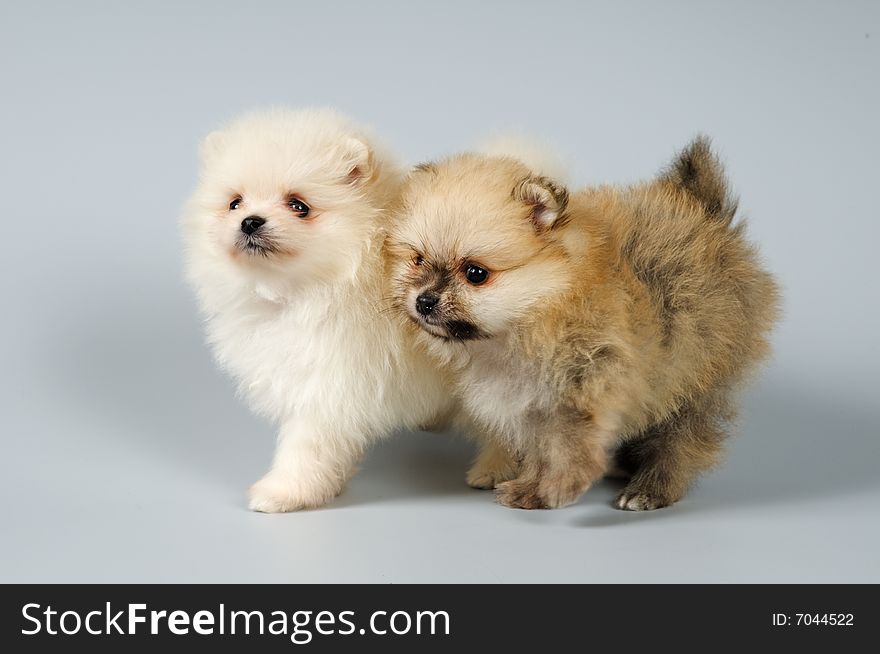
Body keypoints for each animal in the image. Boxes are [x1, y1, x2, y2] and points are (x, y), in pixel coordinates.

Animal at [181, 109, 450, 512]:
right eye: (235, 203)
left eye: (299, 205)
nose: (250, 221)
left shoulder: (331, 378)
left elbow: (308, 444)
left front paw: (283, 492)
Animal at [388, 140, 780, 512]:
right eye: (417, 259)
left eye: (475, 273)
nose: (424, 301)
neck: (542, 306)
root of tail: (706, 214)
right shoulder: (531, 402)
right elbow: (539, 448)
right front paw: (530, 487)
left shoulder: (593, 376)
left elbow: (572, 444)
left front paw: (559, 487)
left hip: (698, 370)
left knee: (681, 437)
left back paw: (650, 489)